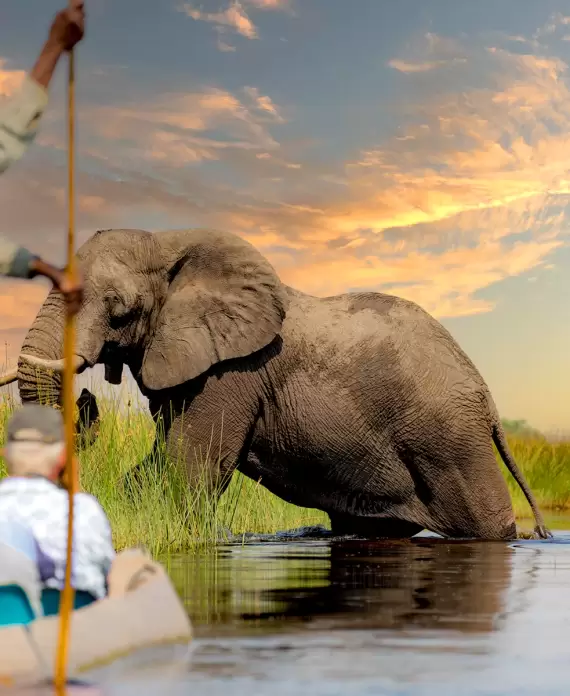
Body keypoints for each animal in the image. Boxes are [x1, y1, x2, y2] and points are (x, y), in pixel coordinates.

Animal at [0, 227, 550, 541]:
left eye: (118, 307)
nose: (88, 398)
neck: (172, 242)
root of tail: (486, 397)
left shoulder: (229, 375)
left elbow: (189, 469)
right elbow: (154, 467)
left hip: (450, 441)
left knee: (485, 523)